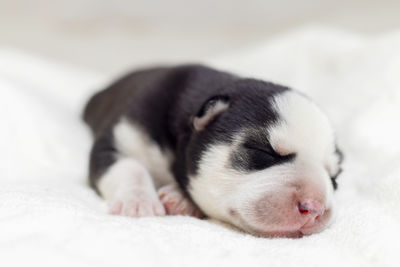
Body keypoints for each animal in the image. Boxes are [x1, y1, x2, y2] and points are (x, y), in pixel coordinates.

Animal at [83, 65, 342, 239]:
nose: (315, 209)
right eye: (264, 152)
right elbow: (129, 167)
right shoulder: (121, 135)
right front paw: (138, 202)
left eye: (334, 179)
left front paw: (181, 198)